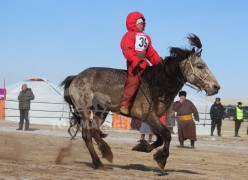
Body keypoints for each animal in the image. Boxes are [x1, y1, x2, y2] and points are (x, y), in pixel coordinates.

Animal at [60, 34, 219, 170]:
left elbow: (160, 138)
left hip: (101, 111)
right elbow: (166, 135)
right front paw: (161, 159)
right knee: (87, 135)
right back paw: (99, 161)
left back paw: (106, 153)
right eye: (200, 66)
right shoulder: (149, 116)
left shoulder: (151, 119)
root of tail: (76, 77)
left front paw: (143, 148)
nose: (216, 87)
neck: (157, 84)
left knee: (94, 130)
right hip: (85, 110)